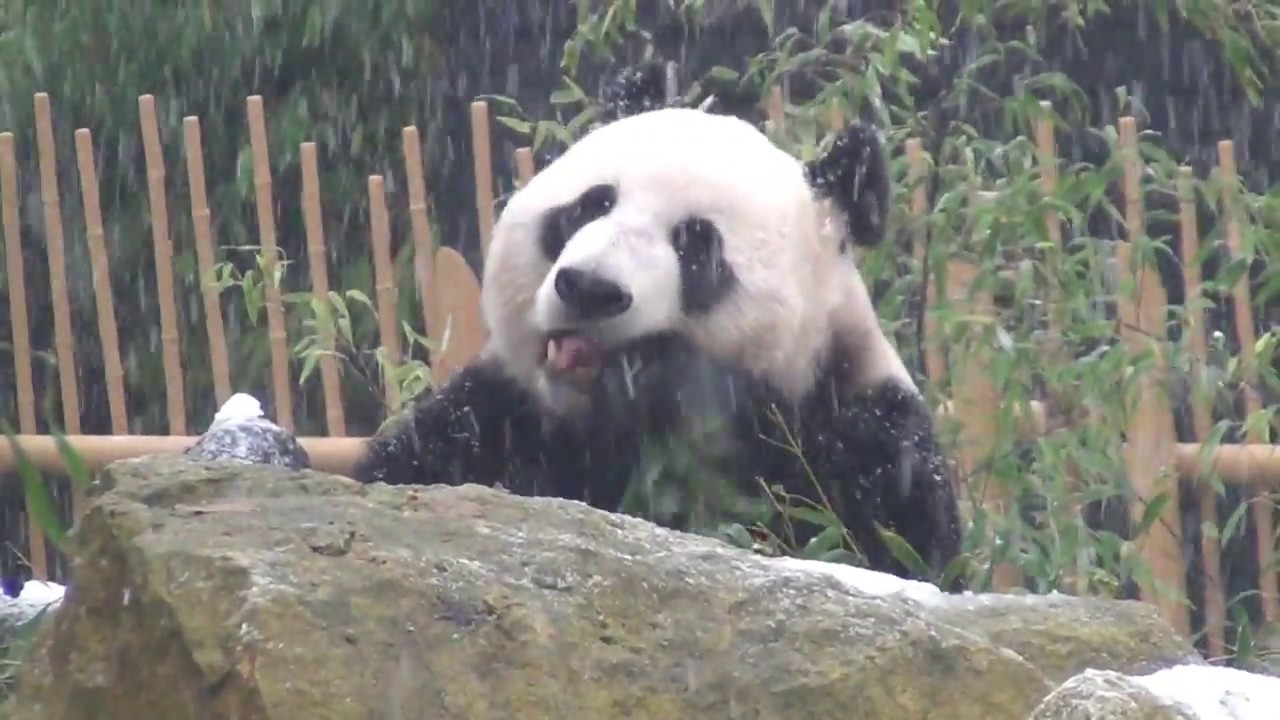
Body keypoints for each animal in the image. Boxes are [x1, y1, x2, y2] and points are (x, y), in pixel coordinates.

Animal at [353, 66, 966, 589]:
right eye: (589, 206)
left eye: (696, 246)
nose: (591, 289)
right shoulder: (493, 418)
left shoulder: (860, 439)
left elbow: (871, 535)